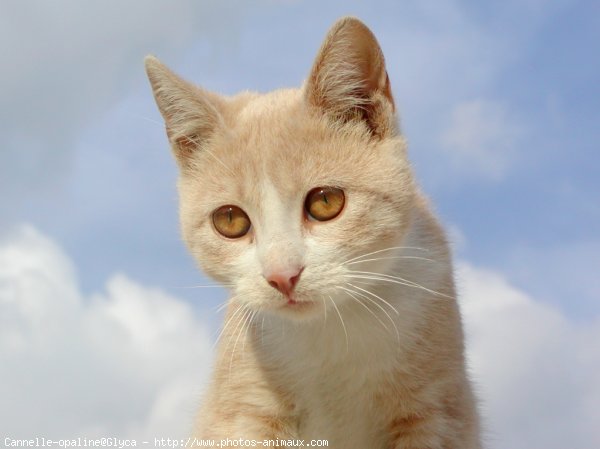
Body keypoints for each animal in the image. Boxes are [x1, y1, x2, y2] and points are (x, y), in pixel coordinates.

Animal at [143, 15, 480, 446]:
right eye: (230, 221)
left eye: (325, 202)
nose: (282, 276)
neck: (332, 328)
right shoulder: (242, 408)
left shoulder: (438, 408)